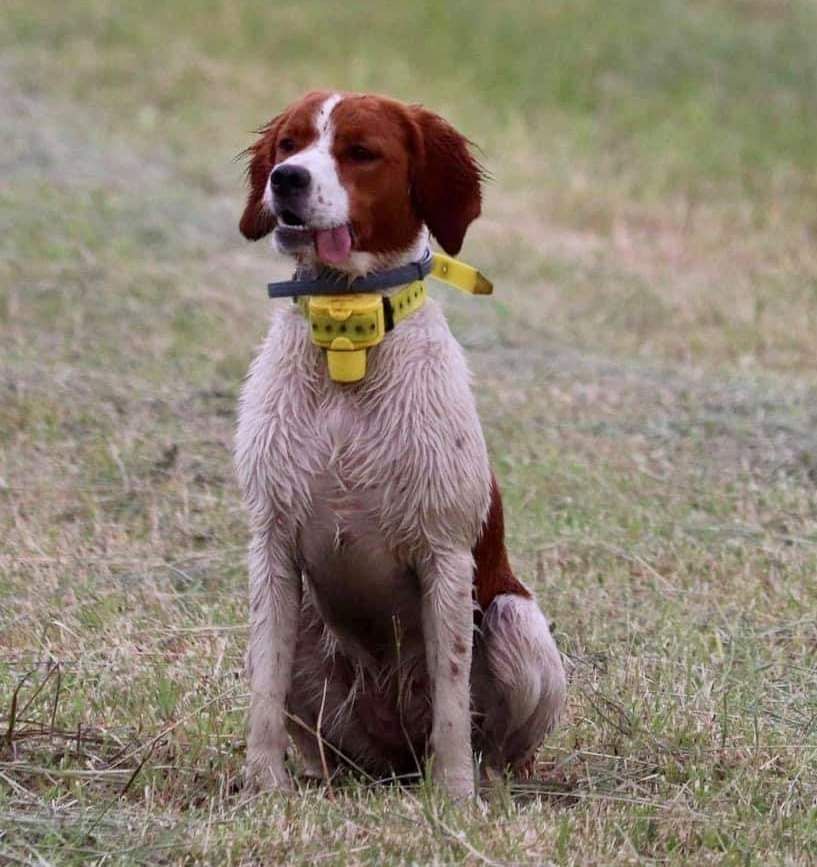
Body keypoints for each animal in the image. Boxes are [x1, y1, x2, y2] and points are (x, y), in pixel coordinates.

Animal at [236, 90, 564, 800]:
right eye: (289, 144)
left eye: (361, 152)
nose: (286, 179)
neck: (347, 342)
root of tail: (398, 758)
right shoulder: (270, 544)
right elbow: (264, 688)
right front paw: (261, 790)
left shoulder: (445, 556)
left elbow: (451, 697)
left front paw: (456, 800)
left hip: (514, 619)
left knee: (497, 746)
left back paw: (482, 783)